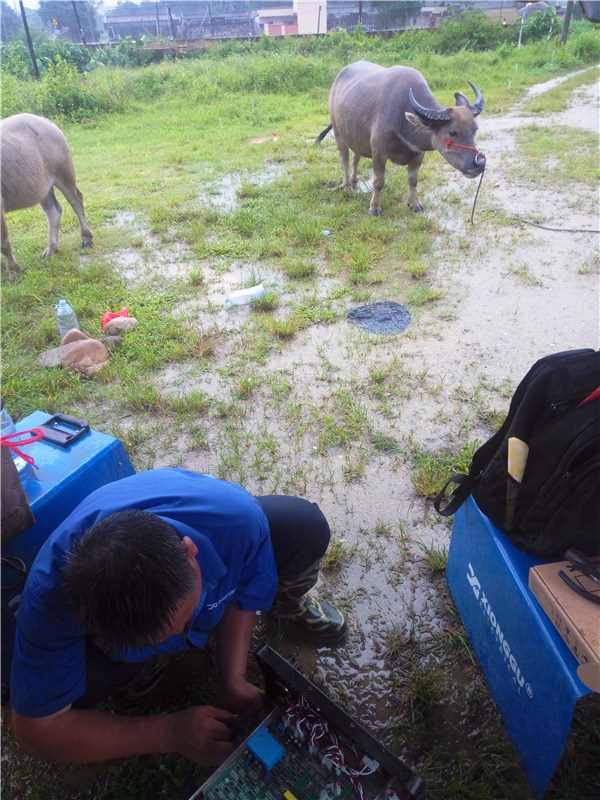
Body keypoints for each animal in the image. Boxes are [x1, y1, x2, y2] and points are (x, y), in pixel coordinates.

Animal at [0, 112, 92, 282]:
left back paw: (86, 238)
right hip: (43, 186)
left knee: (76, 201)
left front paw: (14, 273)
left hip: (64, 173)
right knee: (53, 211)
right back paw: (51, 249)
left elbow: (4, 243)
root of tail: (46, 121)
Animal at [316, 61, 486, 216]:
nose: (479, 163)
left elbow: (413, 180)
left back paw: (354, 184)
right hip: (338, 132)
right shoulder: (379, 151)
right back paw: (346, 187)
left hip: (357, 137)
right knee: (344, 159)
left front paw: (415, 204)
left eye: (475, 129)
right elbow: (379, 181)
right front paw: (374, 208)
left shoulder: (419, 153)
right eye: (452, 132)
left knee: (355, 159)